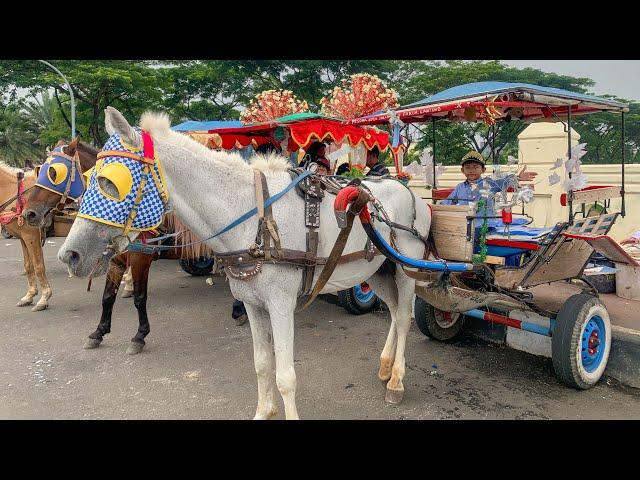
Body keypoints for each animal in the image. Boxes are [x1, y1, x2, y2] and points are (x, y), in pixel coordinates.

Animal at [58, 107, 430, 418]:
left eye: (109, 182)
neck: (255, 219)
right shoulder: (252, 304)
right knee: (393, 312)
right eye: (88, 178)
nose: (69, 255)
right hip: (376, 270)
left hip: (404, 269)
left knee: (404, 316)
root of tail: (410, 191)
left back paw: (396, 382)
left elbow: (285, 376)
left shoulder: (280, 305)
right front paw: (264, 412)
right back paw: (385, 367)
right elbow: (262, 364)